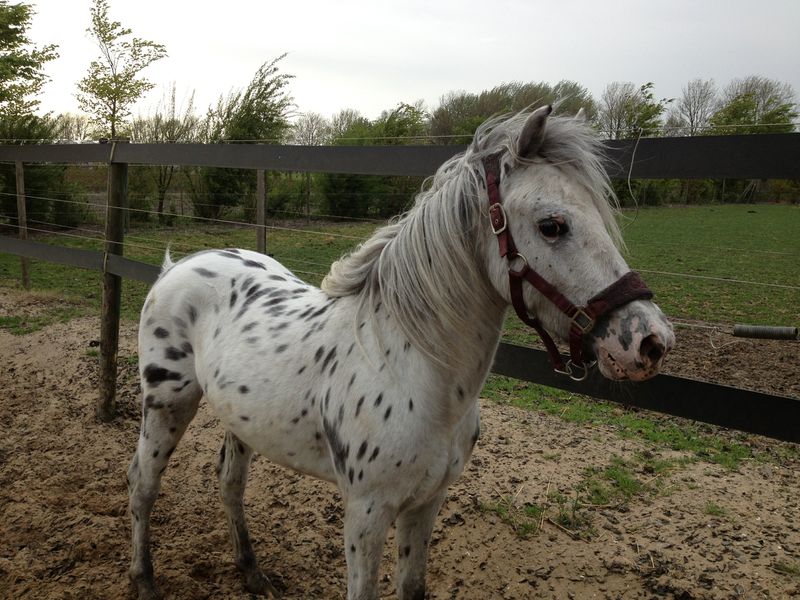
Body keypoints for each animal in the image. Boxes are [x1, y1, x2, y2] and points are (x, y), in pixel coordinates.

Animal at [127, 105, 674, 600]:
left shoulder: (426, 503)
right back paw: (144, 580)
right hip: (168, 404)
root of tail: (178, 266)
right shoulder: (366, 514)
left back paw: (252, 572)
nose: (651, 341)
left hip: (240, 421)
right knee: (142, 483)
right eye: (552, 225)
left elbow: (412, 586)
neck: (411, 367)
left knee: (229, 483)